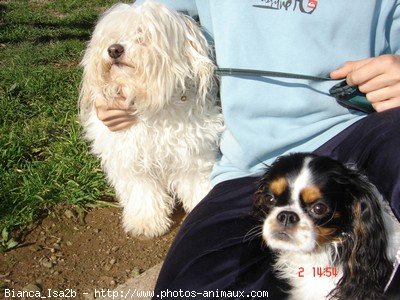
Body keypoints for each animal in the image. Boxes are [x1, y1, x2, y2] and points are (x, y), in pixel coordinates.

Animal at [78, 1, 222, 238]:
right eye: (112, 36)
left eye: (143, 36)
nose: (114, 49)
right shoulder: (133, 160)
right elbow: (143, 192)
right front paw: (146, 222)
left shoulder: (194, 156)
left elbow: (198, 187)